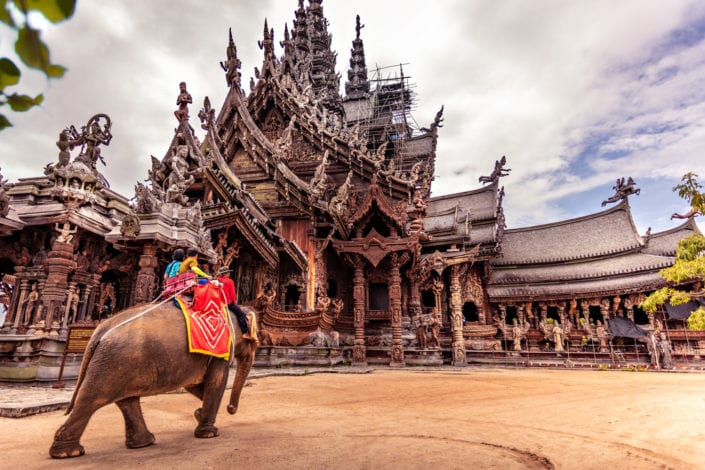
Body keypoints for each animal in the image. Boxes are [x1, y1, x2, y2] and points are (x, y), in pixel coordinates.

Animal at [50, 286, 258, 458]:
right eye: (254, 341)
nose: (231, 409)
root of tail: (99, 332)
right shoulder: (221, 348)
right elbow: (215, 382)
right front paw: (208, 432)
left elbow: (196, 384)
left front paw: (199, 414)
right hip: (113, 362)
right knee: (91, 399)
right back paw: (68, 452)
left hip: (118, 363)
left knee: (126, 400)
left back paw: (142, 443)